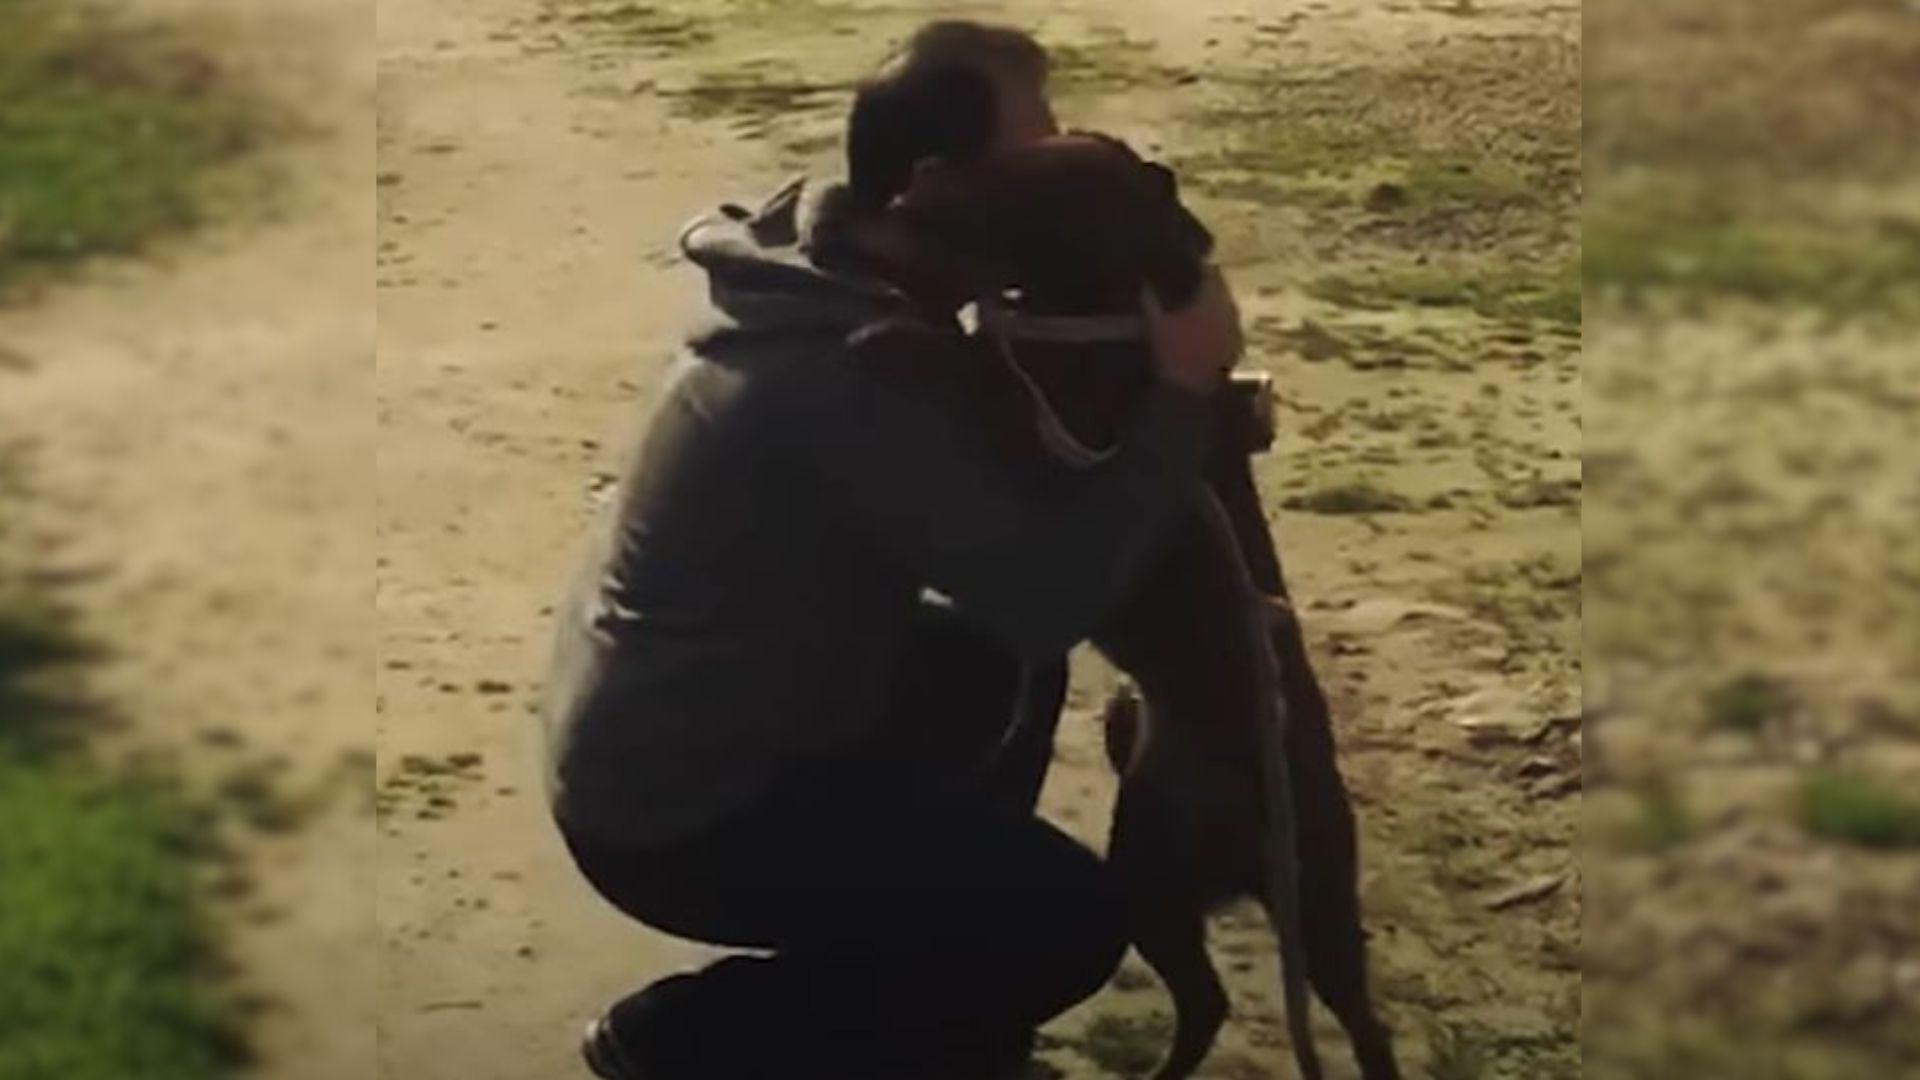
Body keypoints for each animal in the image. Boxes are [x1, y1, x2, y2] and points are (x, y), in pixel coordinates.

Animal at [879, 134, 1397, 1076]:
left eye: (1035, 186)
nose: (930, 171)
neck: (1111, 306)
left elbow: (987, 370)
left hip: (1261, 898)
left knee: (1339, 1019)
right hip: (1162, 876)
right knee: (1226, 1003)